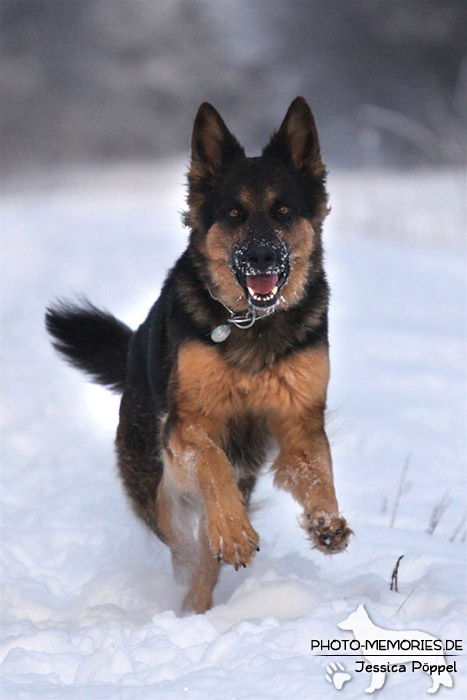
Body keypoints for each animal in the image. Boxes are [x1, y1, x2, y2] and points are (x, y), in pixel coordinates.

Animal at [48, 98, 354, 612]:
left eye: (283, 211)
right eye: (233, 213)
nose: (262, 257)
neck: (251, 323)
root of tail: (131, 350)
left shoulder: (298, 422)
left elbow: (318, 470)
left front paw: (325, 522)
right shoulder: (188, 424)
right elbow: (212, 463)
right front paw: (231, 530)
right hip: (155, 481)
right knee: (183, 543)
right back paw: (192, 592)